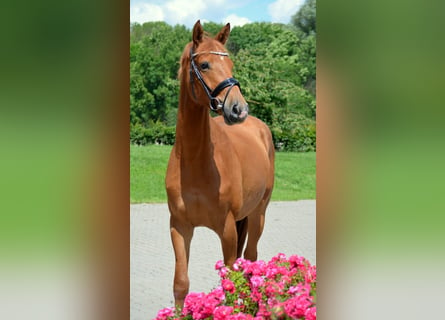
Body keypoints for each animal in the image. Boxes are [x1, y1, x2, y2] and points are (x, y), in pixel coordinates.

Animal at [165, 20, 272, 308]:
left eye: (231, 64)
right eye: (204, 65)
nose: (238, 109)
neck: (195, 163)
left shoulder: (227, 229)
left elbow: (230, 282)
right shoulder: (179, 226)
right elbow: (180, 284)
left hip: (258, 214)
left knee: (252, 258)